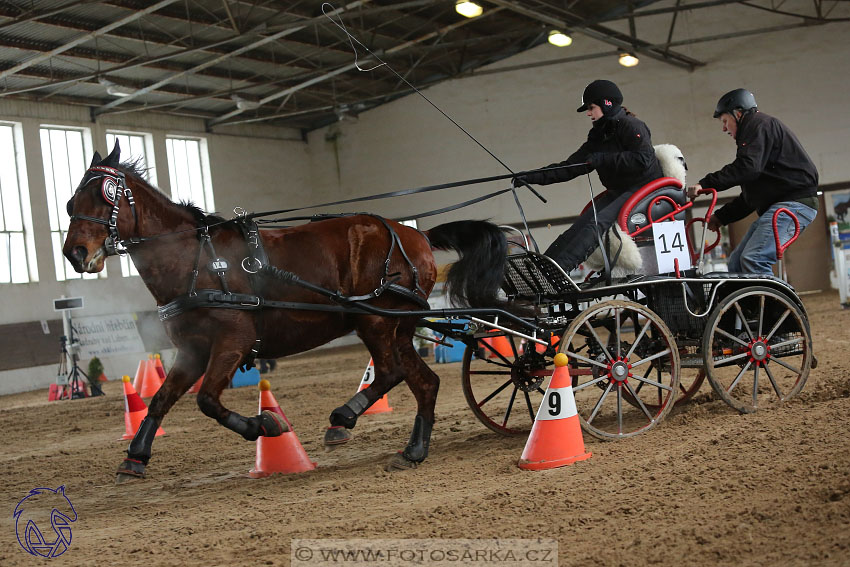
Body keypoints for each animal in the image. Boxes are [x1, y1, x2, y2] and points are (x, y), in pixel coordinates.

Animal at [64, 143, 510, 484]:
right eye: (71, 202)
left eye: (106, 193)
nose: (75, 253)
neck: (196, 260)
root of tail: (415, 233)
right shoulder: (192, 350)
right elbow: (160, 400)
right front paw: (135, 458)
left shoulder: (233, 339)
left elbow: (207, 400)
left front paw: (265, 425)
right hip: (397, 326)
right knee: (425, 382)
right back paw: (413, 450)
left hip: (375, 320)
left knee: (390, 372)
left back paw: (342, 418)